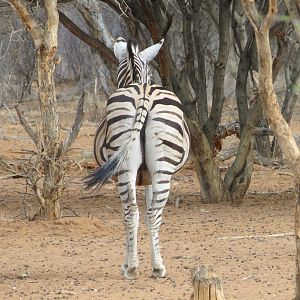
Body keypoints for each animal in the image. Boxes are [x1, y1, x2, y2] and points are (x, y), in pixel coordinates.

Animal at [84, 37, 191, 278]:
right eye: (151, 73)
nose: (150, 79)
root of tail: (144, 94)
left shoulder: (144, 177)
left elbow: (134, 215)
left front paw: (128, 262)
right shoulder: (149, 177)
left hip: (127, 167)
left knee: (132, 212)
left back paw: (133, 268)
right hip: (158, 168)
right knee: (149, 213)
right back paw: (154, 267)